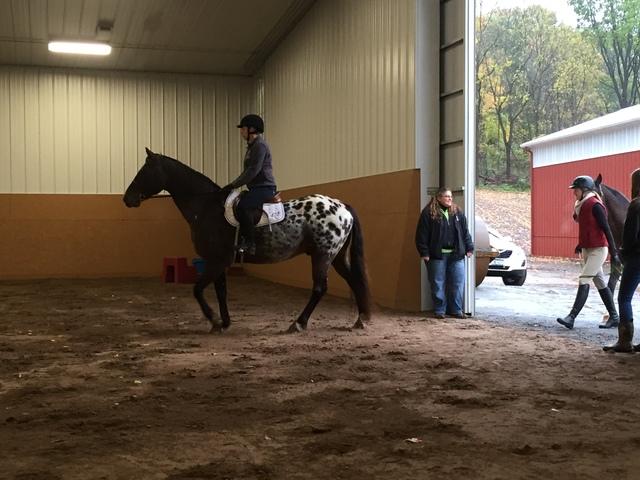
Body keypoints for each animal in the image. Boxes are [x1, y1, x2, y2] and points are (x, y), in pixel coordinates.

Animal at [123, 148, 371, 333]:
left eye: (145, 171)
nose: (127, 199)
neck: (206, 207)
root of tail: (342, 206)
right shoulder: (217, 261)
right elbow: (220, 291)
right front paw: (224, 323)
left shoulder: (217, 260)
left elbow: (197, 289)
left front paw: (214, 320)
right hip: (336, 256)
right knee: (353, 280)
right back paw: (361, 319)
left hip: (322, 255)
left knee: (320, 287)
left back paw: (299, 323)